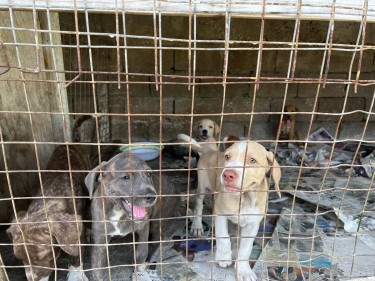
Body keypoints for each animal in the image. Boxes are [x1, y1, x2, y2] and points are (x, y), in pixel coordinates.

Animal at [6, 115, 92, 280]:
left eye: (41, 256)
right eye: (21, 259)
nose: (33, 279)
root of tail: (72, 143)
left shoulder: (77, 231)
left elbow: (75, 254)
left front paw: (75, 274)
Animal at [84, 151, 181, 280]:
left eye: (149, 174)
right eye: (126, 177)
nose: (152, 196)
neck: (118, 211)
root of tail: (174, 183)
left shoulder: (143, 227)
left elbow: (142, 251)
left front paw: (138, 266)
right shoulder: (99, 238)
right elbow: (96, 267)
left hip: (158, 222)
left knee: (155, 241)